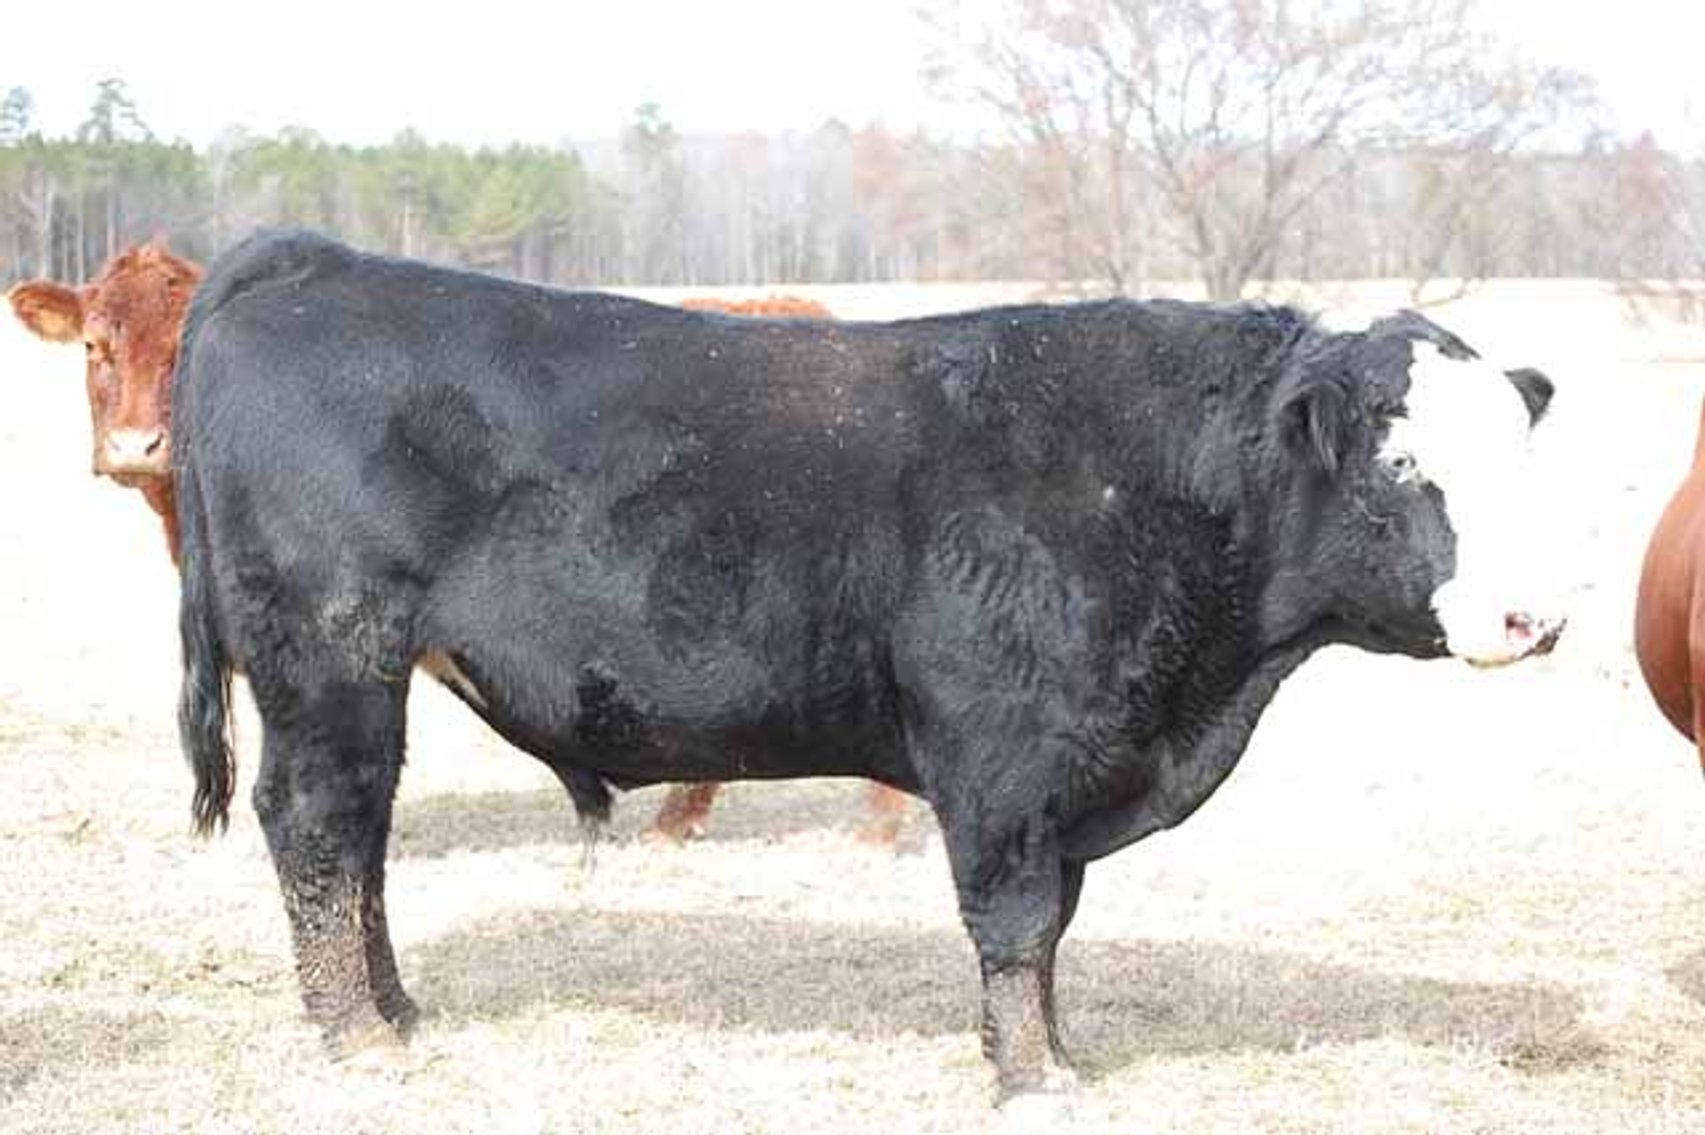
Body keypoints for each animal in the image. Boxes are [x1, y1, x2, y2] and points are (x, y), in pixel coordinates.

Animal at [171, 230, 1562, 1103]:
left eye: (1519, 453)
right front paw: (1030, 1078)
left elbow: (1052, 930)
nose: (1534, 616)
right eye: (1403, 465)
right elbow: (1016, 921)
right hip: (328, 655)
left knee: (360, 837)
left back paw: (397, 1011)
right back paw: (357, 1033)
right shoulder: (1002, 760)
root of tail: (309, 258)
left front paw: (1056, 1053)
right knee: (319, 825)